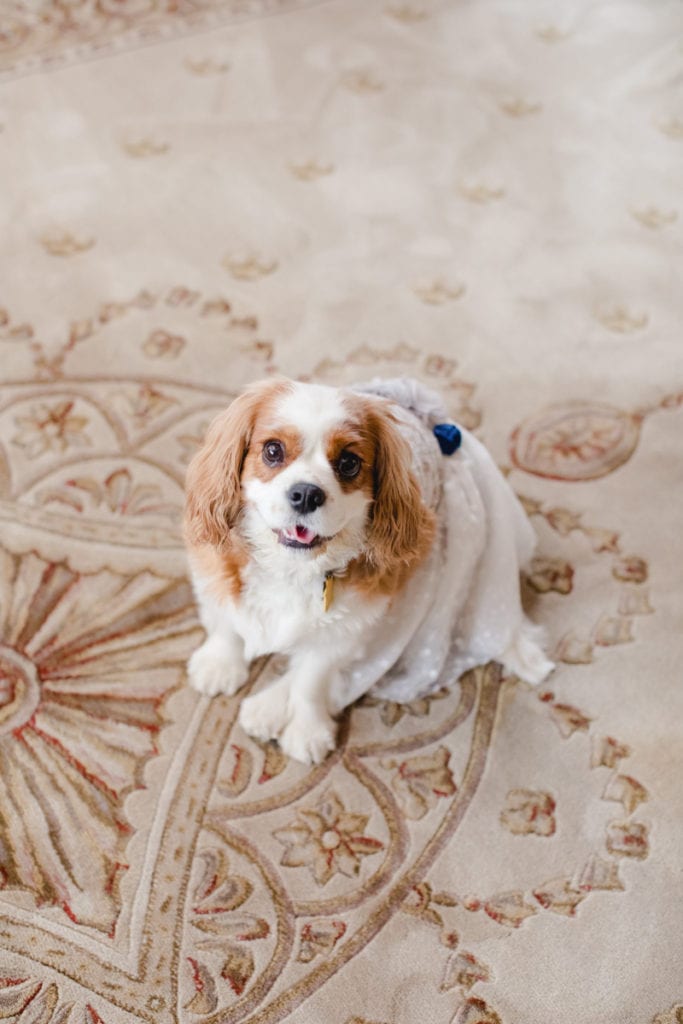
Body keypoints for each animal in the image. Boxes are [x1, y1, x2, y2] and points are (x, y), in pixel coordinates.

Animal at [184, 376, 552, 761]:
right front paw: (219, 664)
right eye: (272, 451)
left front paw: (307, 730)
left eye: (349, 463)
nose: (306, 494)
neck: (292, 569)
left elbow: (312, 680)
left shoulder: (346, 627)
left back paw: (267, 707)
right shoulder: (213, 568)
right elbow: (227, 621)